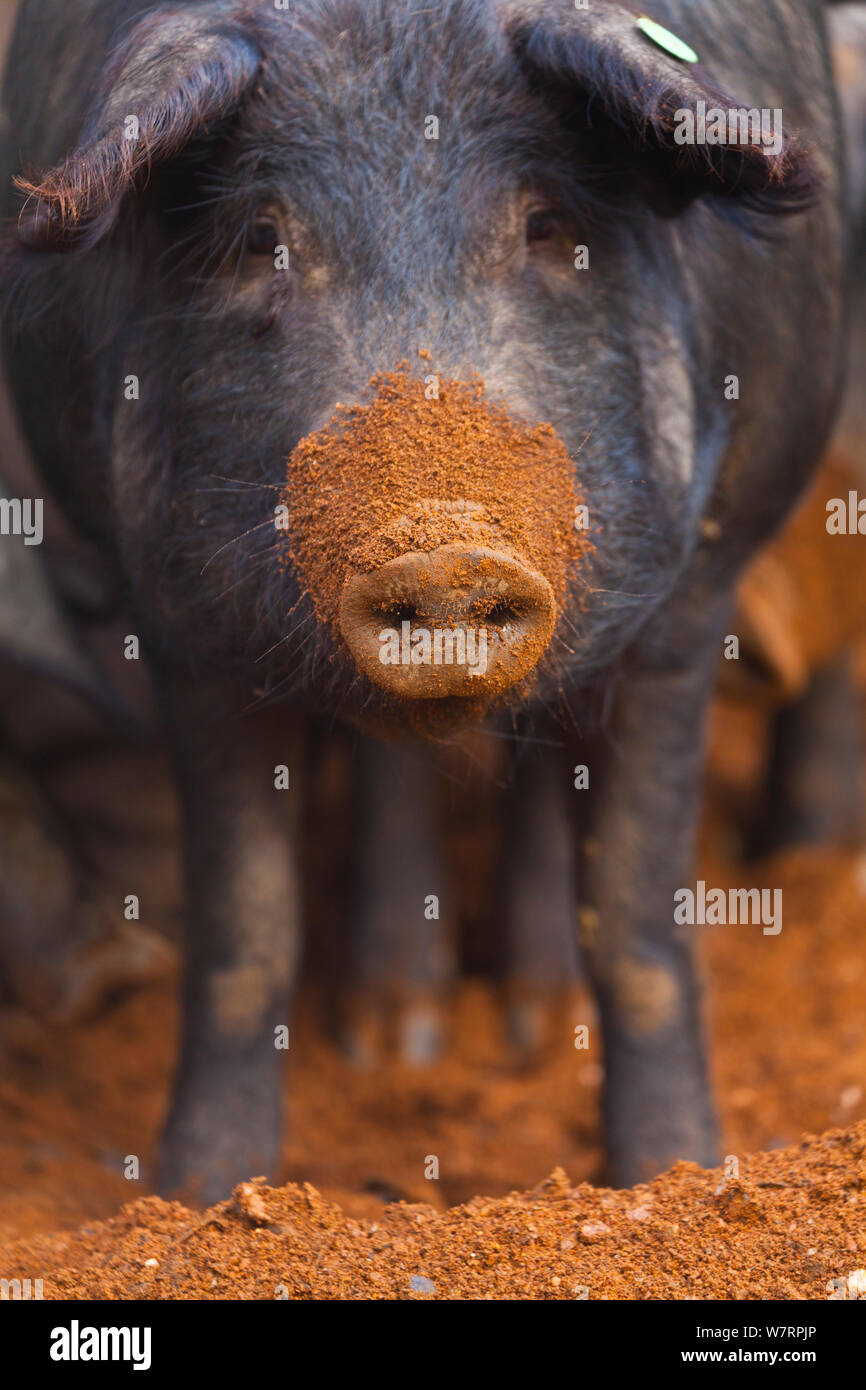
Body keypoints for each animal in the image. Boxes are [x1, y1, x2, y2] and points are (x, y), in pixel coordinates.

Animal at [0, 0, 845, 1195]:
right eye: (260, 241)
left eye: (547, 227)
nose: (444, 554)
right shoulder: (173, 624)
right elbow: (244, 932)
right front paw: (196, 1196)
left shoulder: (692, 603)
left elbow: (636, 920)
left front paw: (671, 1176)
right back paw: (399, 1037)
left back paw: (541, 1015)